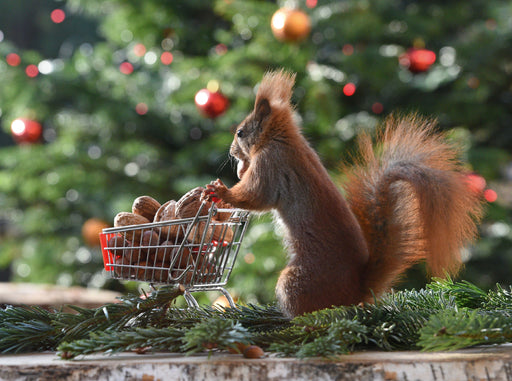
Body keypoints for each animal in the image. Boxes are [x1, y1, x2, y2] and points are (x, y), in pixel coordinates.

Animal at [203, 69, 484, 318]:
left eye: (240, 133)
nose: (231, 152)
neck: (282, 139)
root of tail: (356, 292)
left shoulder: (271, 164)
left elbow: (256, 196)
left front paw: (222, 191)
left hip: (295, 282)